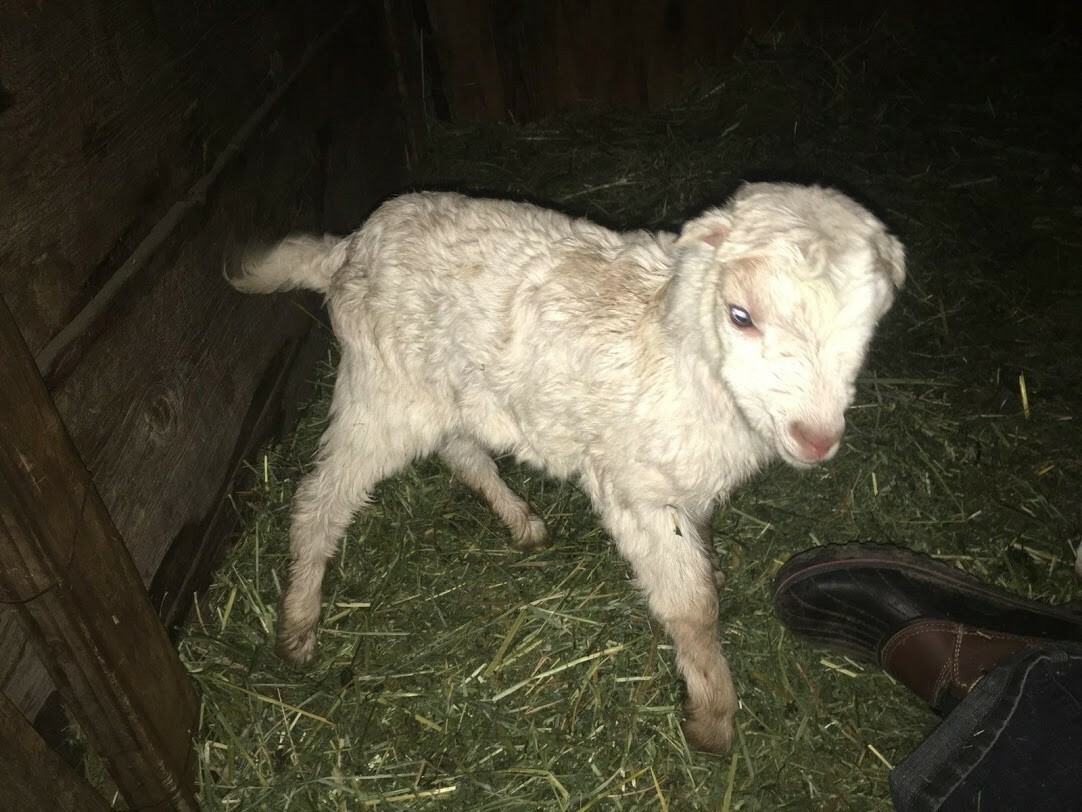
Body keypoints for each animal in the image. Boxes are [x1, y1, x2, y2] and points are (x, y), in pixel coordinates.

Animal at [228, 182, 905, 753]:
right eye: (740, 315)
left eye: (867, 325)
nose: (815, 438)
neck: (676, 349)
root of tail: (347, 249)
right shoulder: (636, 491)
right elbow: (693, 608)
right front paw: (712, 720)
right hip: (381, 391)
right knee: (321, 497)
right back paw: (297, 625)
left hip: (450, 388)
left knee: (459, 447)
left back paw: (520, 520)